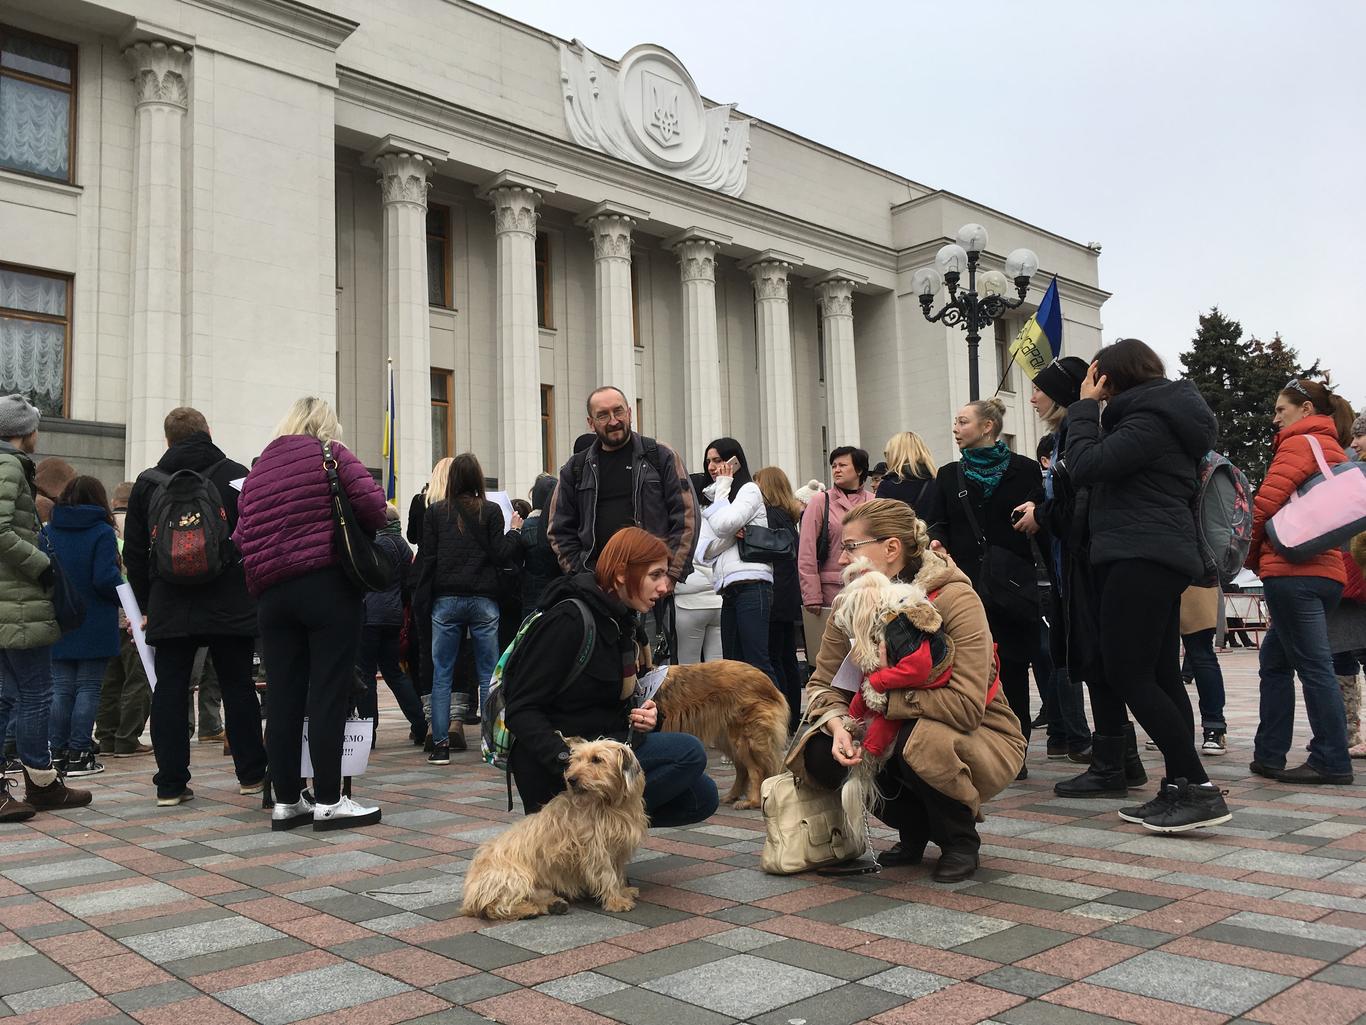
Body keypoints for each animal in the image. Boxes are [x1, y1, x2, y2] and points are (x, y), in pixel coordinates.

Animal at [461, 738, 647, 923]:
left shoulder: (617, 849)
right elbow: (607, 875)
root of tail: (469, 897)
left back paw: (553, 905)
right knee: (493, 907)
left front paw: (623, 891)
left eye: (596, 759)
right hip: (514, 877)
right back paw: (526, 910)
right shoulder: (596, 851)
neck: (609, 805)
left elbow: (618, 873)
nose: (571, 779)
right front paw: (616, 901)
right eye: (576, 760)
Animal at [652, 666, 786, 809]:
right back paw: (732, 796)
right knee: (742, 770)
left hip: (744, 740)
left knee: (756, 770)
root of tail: (766, 680)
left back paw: (752, 801)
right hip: (728, 741)